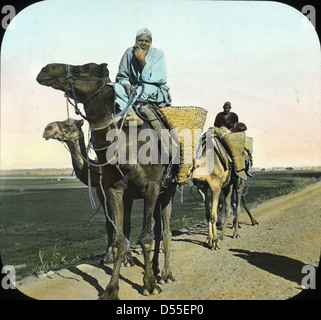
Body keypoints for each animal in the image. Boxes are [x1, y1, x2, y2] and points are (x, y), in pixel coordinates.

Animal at [37, 63, 175, 300]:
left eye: (83, 68)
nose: (46, 69)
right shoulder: (114, 191)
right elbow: (118, 233)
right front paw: (111, 287)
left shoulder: (150, 187)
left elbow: (145, 237)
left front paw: (148, 284)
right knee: (157, 227)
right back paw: (156, 268)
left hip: (167, 189)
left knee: (164, 230)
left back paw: (165, 274)